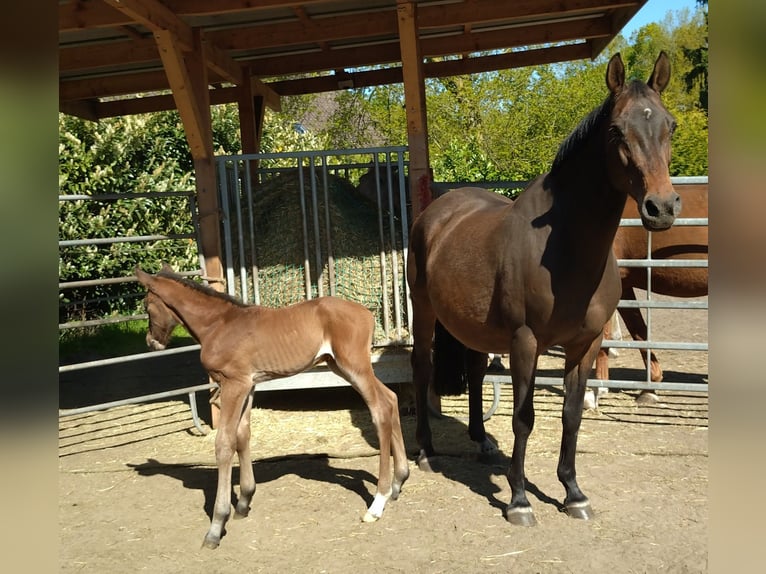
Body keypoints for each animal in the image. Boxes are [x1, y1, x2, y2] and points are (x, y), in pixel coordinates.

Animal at [135, 264, 409, 549]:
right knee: (391, 398)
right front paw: (244, 502)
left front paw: (216, 525)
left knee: (380, 410)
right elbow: (242, 435)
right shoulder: (249, 385)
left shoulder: (233, 383)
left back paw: (377, 504)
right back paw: (399, 481)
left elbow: (224, 443)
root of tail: (367, 313)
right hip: (341, 366)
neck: (218, 324)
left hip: (354, 366)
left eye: (147, 305)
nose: (151, 341)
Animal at [406, 52, 678, 526]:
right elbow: (523, 418)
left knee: (475, 371)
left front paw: (573, 493)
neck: (565, 247)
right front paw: (519, 500)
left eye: (671, 126)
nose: (660, 208)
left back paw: (481, 441)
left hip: (471, 326)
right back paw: (425, 451)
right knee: (422, 369)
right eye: (616, 130)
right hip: (424, 314)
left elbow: (572, 416)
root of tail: (437, 211)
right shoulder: (525, 342)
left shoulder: (585, 344)